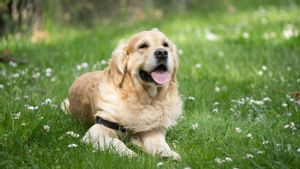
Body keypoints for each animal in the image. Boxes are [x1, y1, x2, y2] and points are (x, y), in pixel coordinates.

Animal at [61, 28, 183, 160]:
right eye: (142, 46)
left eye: (166, 45)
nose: (162, 52)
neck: (144, 100)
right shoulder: (98, 130)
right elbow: (116, 142)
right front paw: (132, 155)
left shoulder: (151, 130)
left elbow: (158, 143)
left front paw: (168, 153)